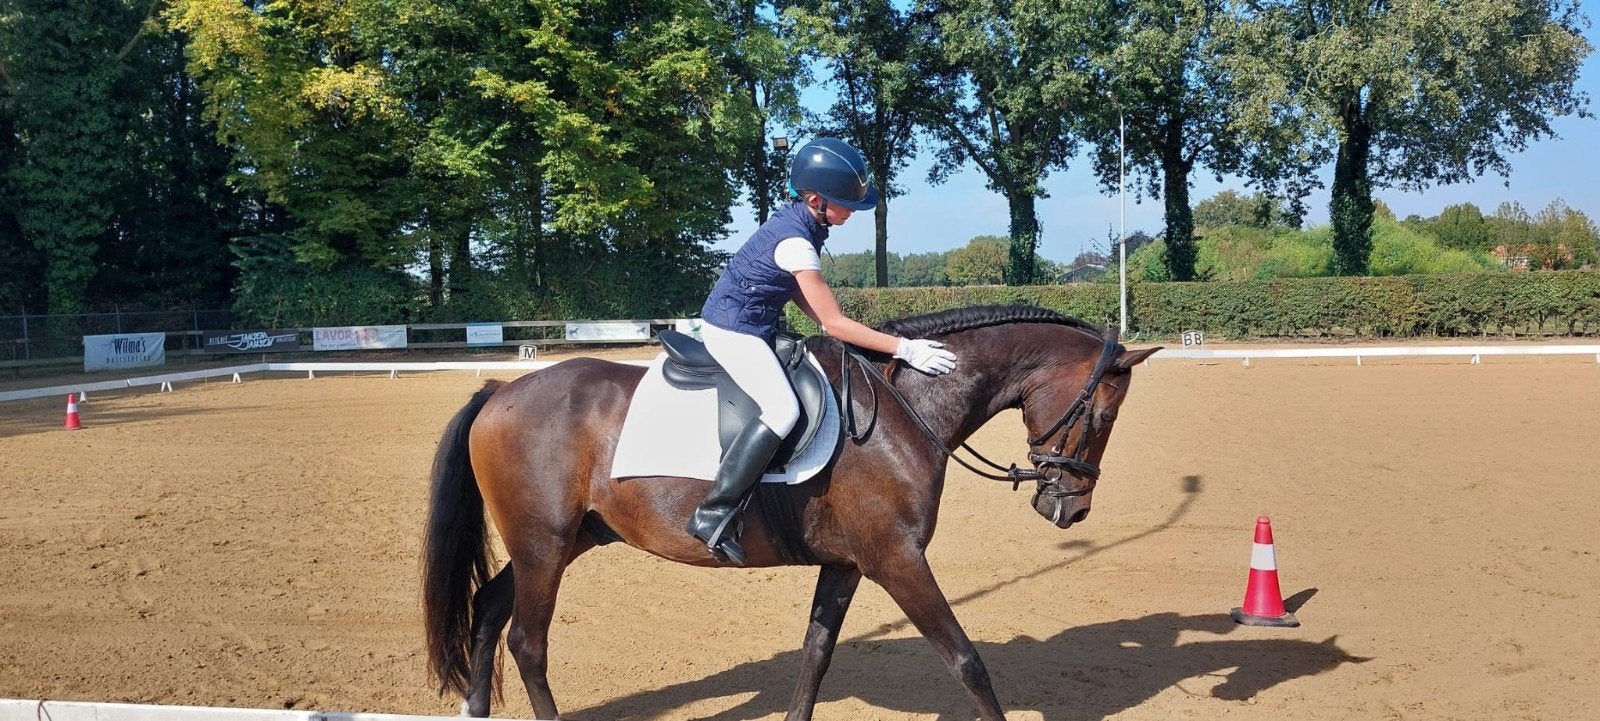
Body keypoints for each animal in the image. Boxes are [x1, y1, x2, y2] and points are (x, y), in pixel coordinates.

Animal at [422, 305, 1161, 720]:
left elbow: (815, 656)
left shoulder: (848, 563)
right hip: (543, 544)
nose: (1071, 509)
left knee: (488, 608)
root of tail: (501, 390)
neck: (907, 407)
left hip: (562, 540)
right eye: (1100, 416)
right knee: (527, 641)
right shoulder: (898, 559)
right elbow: (966, 660)